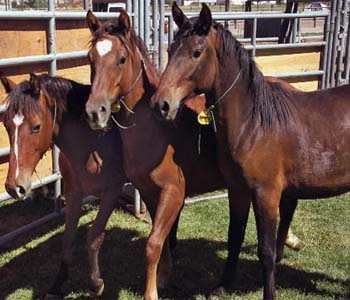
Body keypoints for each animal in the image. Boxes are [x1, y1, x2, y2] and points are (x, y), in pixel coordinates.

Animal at [0, 72, 126, 298]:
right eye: (6, 125)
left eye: (36, 126)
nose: (14, 187)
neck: (92, 144)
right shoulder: (73, 192)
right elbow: (67, 239)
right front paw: (57, 284)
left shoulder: (111, 192)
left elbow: (93, 237)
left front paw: (96, 283)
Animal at [83, 9, 302, 300]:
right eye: (90, 59)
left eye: (121, 59)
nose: (95, 113)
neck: (155, 129)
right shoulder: (150, 194)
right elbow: (163, 241)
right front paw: (164, 277)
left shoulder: (173, 194)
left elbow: (153, 244)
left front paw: (151, 292)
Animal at [153, 2, 350, 300]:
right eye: (171, 49)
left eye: (196, 52)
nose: (161, 104)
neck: (254, 124)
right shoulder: (238, 191)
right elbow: (234, 238)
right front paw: (222, 286)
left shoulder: (266, 194)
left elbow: (266, 252)